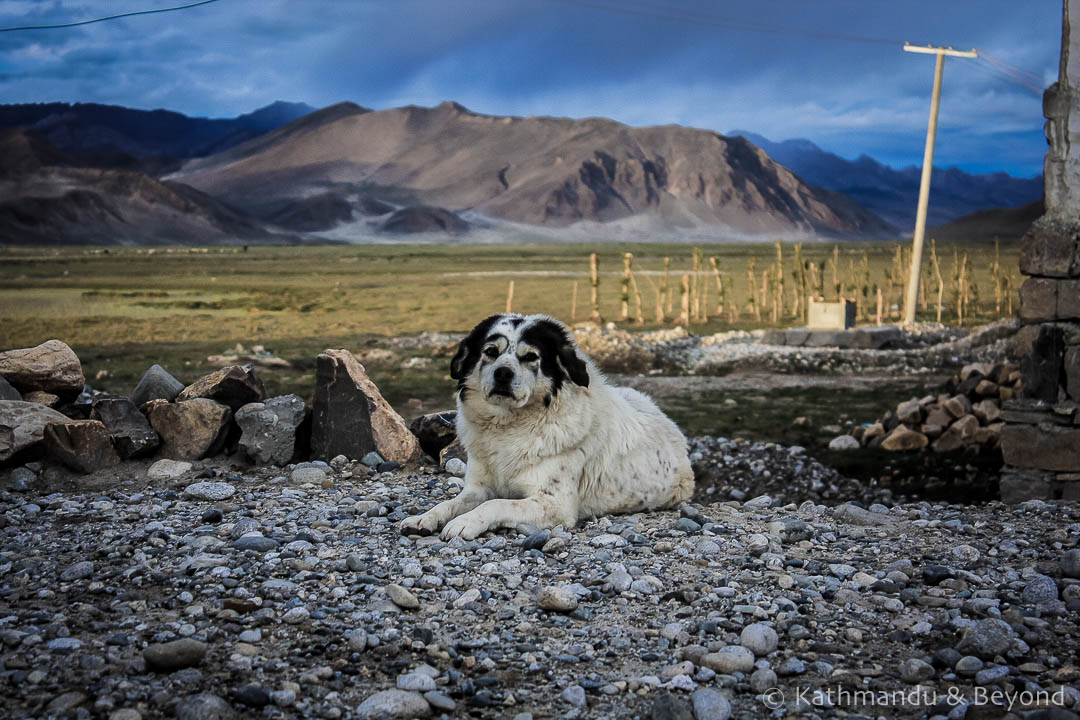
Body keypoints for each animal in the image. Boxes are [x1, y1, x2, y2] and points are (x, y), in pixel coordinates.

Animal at [401, 315, 695, 539]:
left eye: (531, 356)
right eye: (491, 352)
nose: (503, 373)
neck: (508, 427)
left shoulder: (554, 503)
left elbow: (495, 504)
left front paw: (465, 523)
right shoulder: (477, 488)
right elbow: (451, 503)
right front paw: (425, 518)